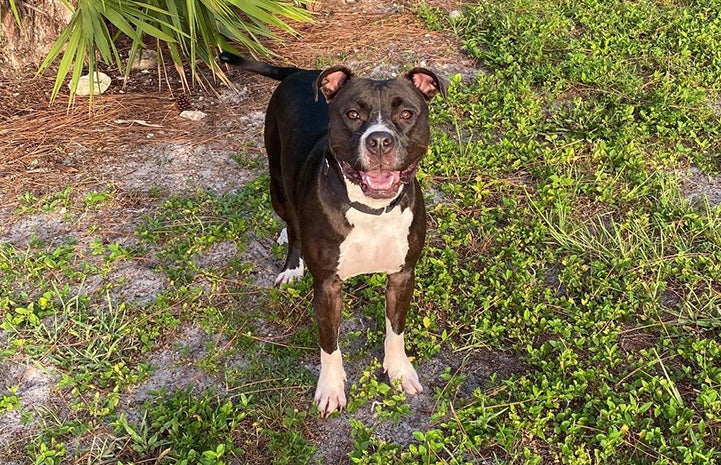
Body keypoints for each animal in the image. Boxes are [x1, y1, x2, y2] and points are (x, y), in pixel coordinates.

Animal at [219, 51, 444, 416]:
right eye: (352, 114)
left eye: (407, 113)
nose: (379, 140)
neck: (370, 208)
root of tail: (297, 73)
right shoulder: (326, 285)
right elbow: (329, 343)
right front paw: (330, 388)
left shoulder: (402, 274)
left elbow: (395, 330)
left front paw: (399, 371)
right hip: (277, 183)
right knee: (292, 223)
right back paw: (291, 262)